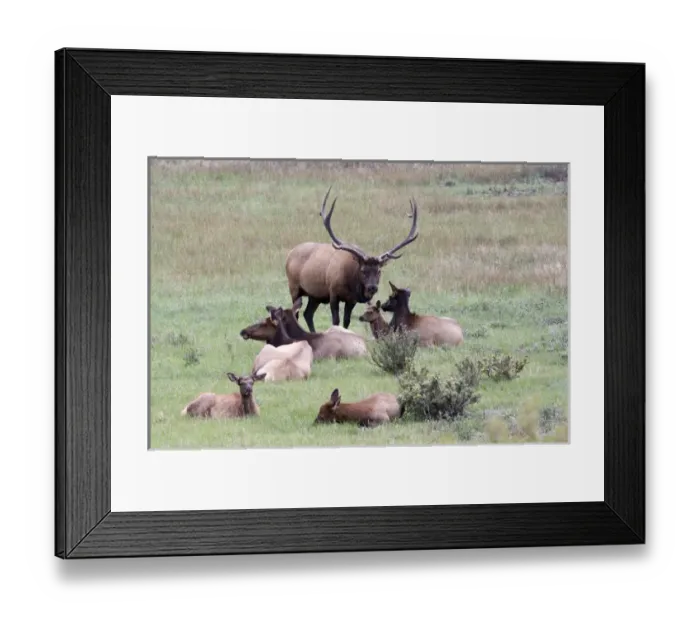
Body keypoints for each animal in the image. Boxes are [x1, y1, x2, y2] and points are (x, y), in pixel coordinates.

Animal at [285, 186, 419, 333]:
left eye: (379, 271)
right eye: (363, 270)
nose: (372, 287)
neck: (351, 282)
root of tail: (290, 254)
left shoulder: (351, 300)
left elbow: (346, 321)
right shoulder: (333, 293)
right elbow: (336, 320)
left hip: (315, 295)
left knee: (308, 313)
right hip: (294, 287)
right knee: (296, 312)